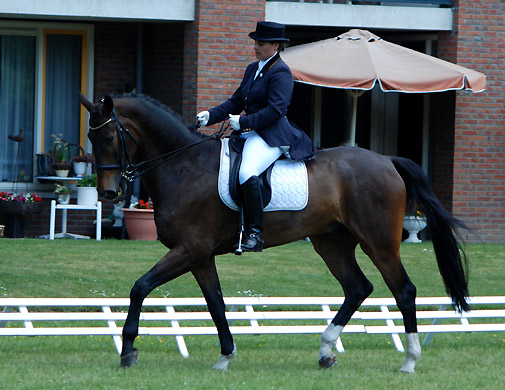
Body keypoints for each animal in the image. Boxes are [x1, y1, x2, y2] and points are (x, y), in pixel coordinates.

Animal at [79, 93, 468, 374]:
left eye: (110, 136)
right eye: (90, 136)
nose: (108, 193)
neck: (183, 166)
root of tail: (387, 161)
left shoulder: (190, 249)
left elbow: (140, 287)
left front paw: (128, 350)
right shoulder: (200, 256)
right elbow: (216, 303)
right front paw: (225, 356)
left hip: (380, 242)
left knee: (403, 290)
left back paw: (409, 361)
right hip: (331, 243)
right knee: (358, 288)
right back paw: (326, 351)